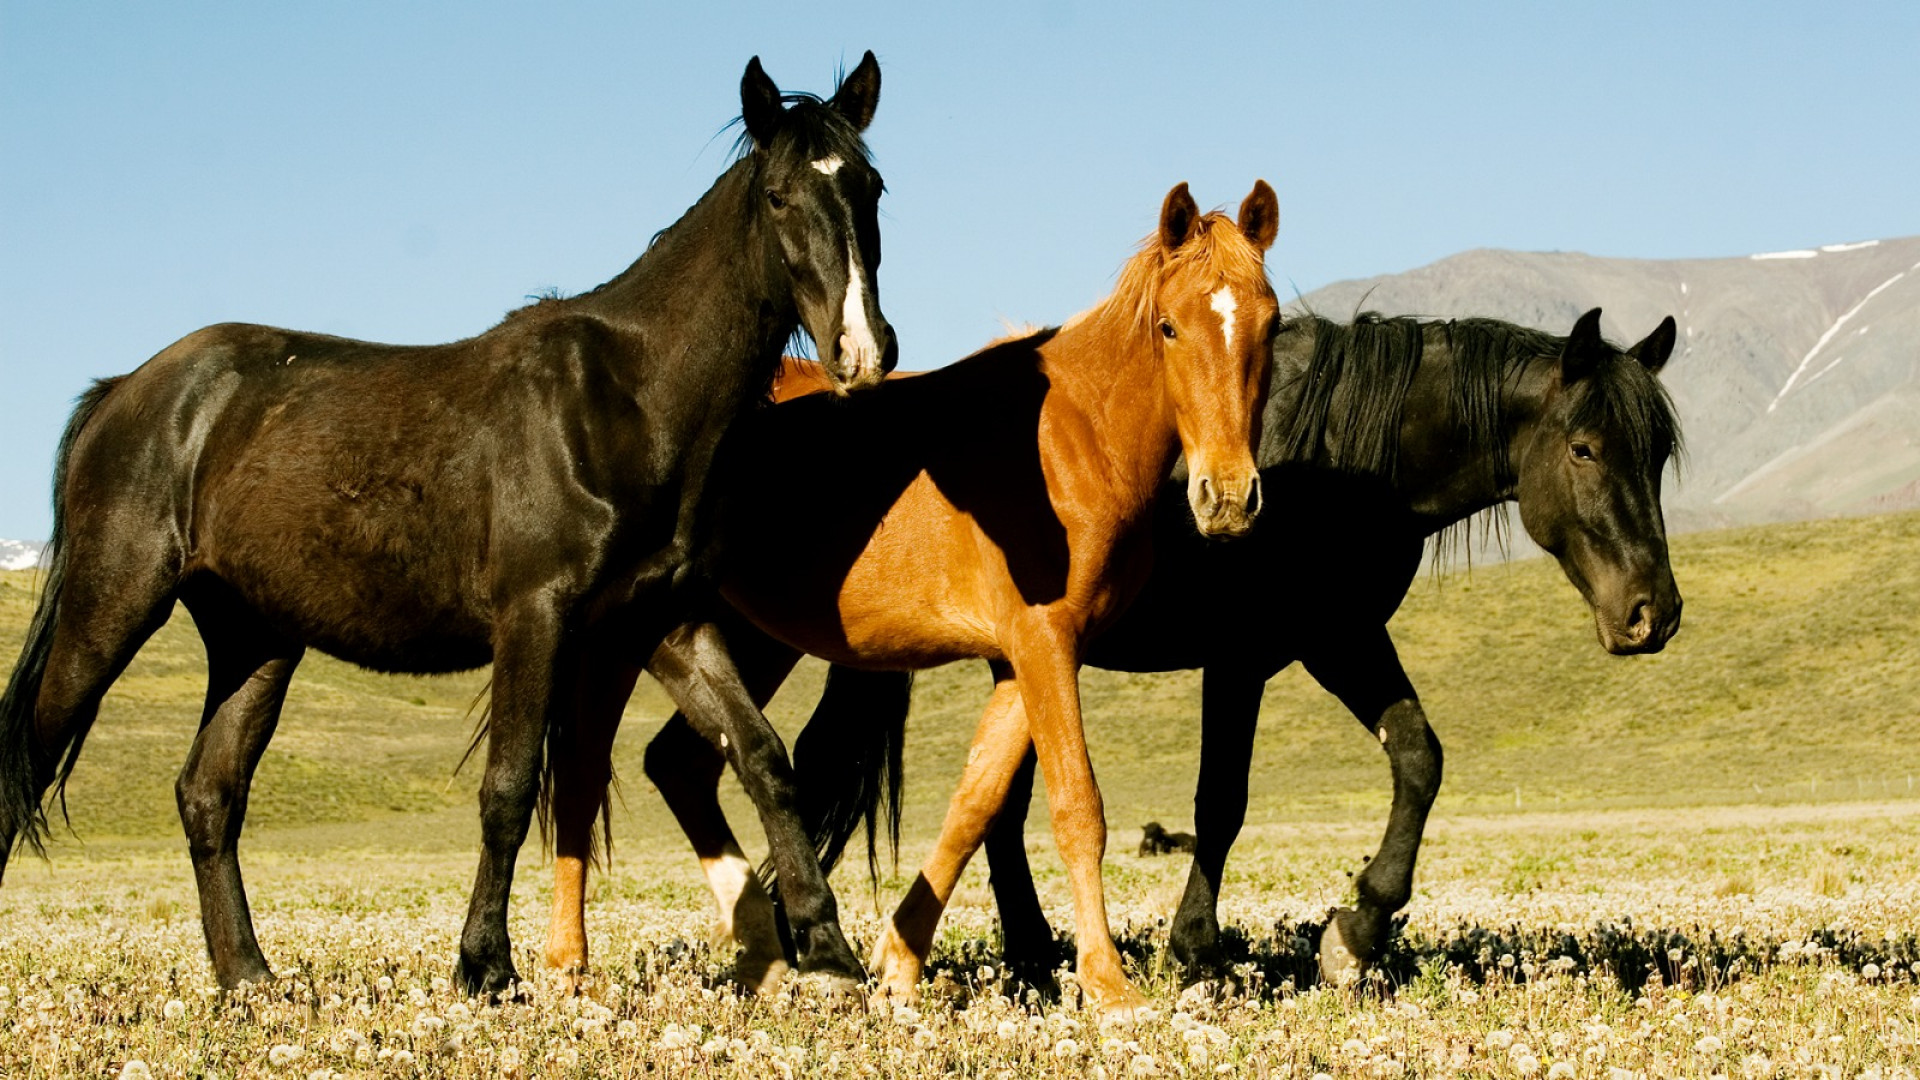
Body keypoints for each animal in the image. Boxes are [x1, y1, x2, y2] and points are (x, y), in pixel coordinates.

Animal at [0, 52, 898, 991]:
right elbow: (508, 787)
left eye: (870, 186)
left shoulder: (667, 624)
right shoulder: (535, 617)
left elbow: (764, 760)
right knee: (21, 764)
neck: (626, 397)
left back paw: (248, 975)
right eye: (779, 196)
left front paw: (829, 953)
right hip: (110, 611)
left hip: (255, 640)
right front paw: (485, 965)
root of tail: (127, 389)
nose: (863, 350)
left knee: (208, 794)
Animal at [541, 178, 1282, 1006]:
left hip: (753, 640)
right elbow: (1076, 808)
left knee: (679, 764)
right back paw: (566, 961)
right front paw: (1109, 984)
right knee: (584, 775)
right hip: (631, 637)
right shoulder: (1043, 643)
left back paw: (762, 953)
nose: (1228, 499)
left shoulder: (1026, 656)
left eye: (1271, 324)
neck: (1075, 438)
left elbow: (974, 803)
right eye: (1169, 326)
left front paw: (899, 960)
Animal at [794, 303, 1681, 983]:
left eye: (1660, 454)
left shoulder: (1343, 637)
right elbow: (1220, 802)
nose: (1654, 613)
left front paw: (1356, 929)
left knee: (996, 806)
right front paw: (1197, 949)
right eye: (1584, 448)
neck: (1335, 463)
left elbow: (1418, 759)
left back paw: (1033, 953)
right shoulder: (1241, 658)